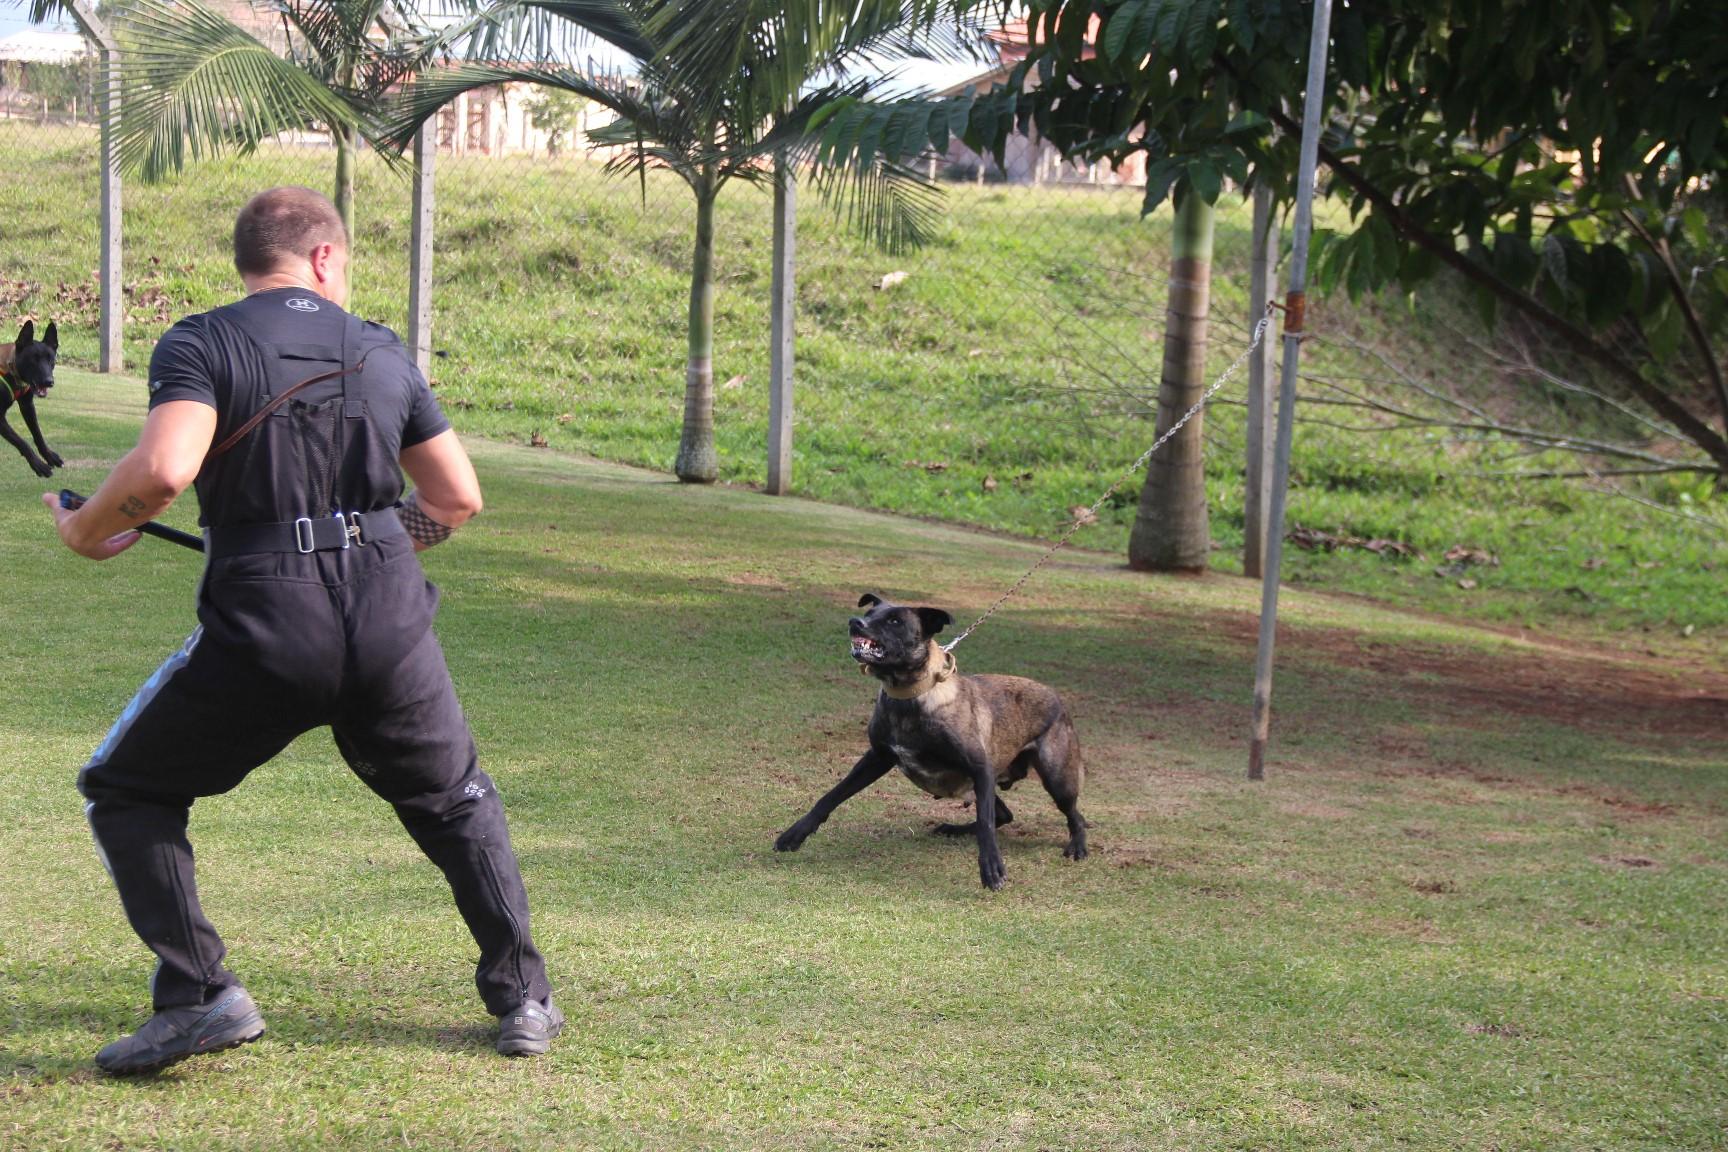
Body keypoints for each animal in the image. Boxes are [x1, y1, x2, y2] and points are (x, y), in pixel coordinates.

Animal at [0, 319, 62, 476]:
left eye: (51, 360)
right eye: (34, 360)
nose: (49, 382)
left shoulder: (27, 406)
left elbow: (38, 434)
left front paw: (49, 455)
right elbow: (22, 442)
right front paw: (38, 464)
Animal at [777, 594, 1085, 891]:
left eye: (895, 620)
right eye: (869, 613)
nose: (855, 622)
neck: (910, 697)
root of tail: (1057, 698)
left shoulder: (980, 768)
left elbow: (986, 824)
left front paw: (992, 868)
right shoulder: (876, 758)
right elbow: (831, 796)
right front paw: (795, 833)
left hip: (1056, 779)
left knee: (1073, 815)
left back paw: (1078, 847)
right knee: (1004, 814)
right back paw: (955, 829)